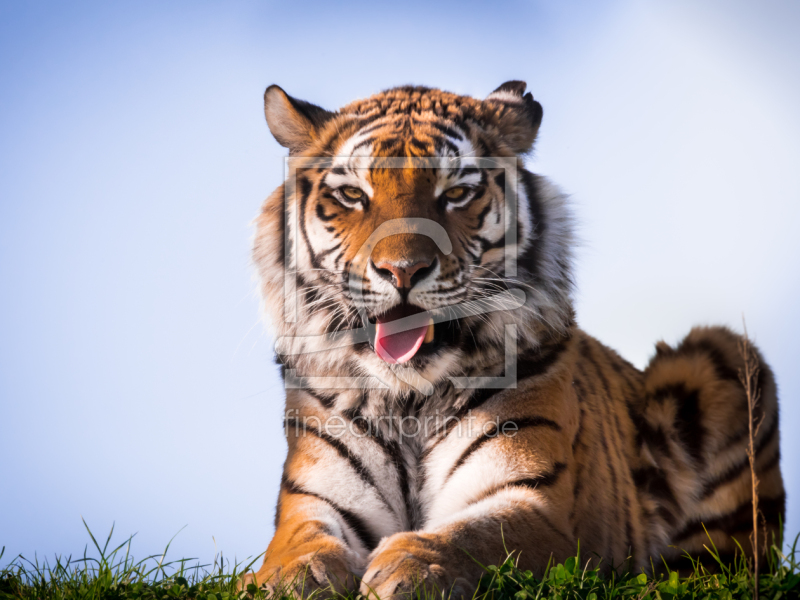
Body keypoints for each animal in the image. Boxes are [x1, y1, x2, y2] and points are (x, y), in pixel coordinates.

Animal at [247, 82, 784, 596]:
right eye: (353, 195)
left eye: (456, 193)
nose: (402, 270)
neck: (410, 398)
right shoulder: (314, 498)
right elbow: (299, 543)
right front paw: (293, 577)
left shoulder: (536, 502)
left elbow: (475, 535)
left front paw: (412, 567)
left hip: (722, 356)